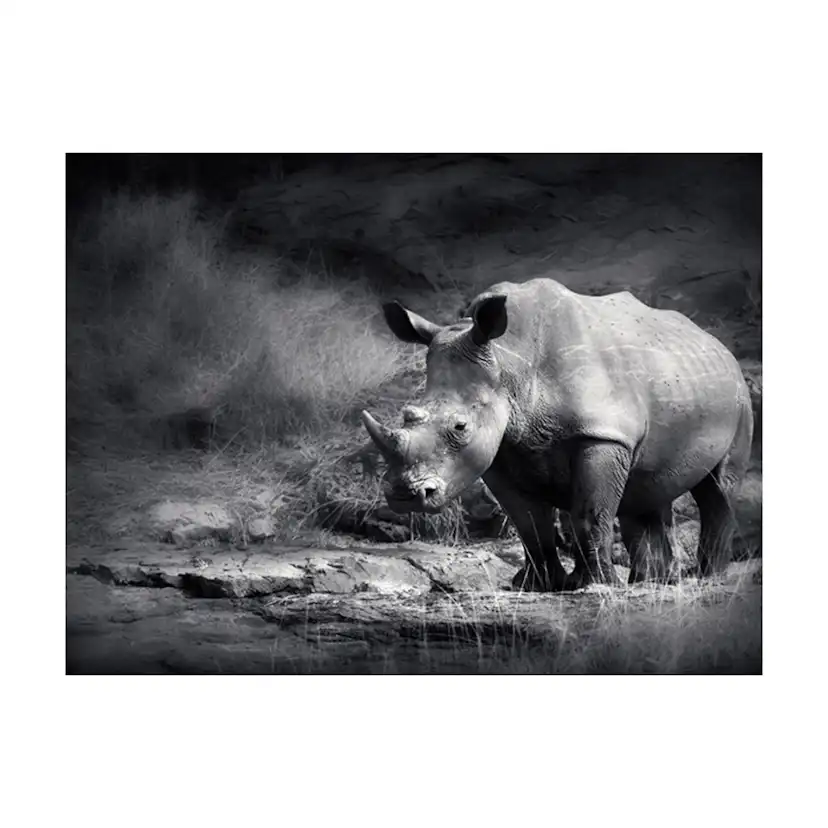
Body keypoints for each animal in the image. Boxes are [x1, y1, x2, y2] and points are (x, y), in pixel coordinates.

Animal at [362, 277, 753, 591]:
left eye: (460, 427)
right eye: (407, 415)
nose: (404, 495)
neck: (509, 363)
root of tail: (716, 343)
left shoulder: (601, 434)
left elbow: (589, 514)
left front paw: (598, 586)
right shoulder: (501, 451)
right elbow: (530, 525)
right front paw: (538, 586)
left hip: (738, 396)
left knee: (716, 489)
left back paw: (707, 578)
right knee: (647, 487)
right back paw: (653, 582)